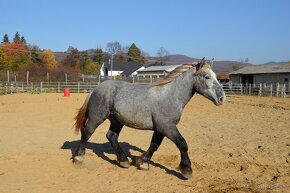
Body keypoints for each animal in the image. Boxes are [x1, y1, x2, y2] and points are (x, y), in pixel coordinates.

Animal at [73, 57, 227, 179]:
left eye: (215, 76)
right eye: (206, 76)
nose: (221, 98)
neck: (171, 96)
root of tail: (95, 89)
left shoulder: (160, 129)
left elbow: (154, 145)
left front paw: (143, 163)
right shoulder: (167, 127)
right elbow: (182, 143)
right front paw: (187, 170)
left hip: (117, 120)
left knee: (111, 136)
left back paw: (123, 161)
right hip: (97, 118)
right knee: (87, 133)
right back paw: (79, 158)